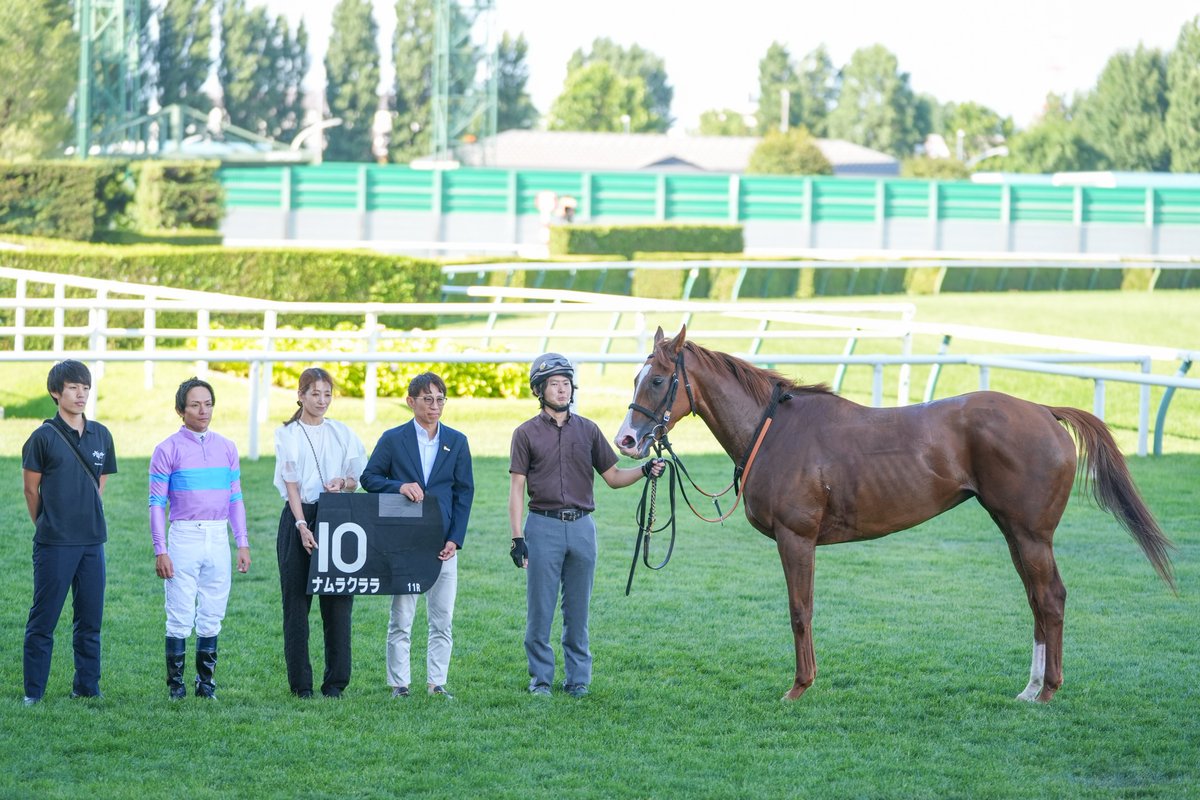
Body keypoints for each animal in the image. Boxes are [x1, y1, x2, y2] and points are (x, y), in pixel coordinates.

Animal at [614, 326, 1175, 703]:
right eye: (638, 376)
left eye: (659, 380)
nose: (627, 440)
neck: (773, 429)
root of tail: (1043, 410)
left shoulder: (796, 539)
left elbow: (800, 611)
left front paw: (800, 687)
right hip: (1015, 531)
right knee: (1037, 600)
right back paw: (1031, 687)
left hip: (1031, 533)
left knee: (1051, 599)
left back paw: (1048, 690)